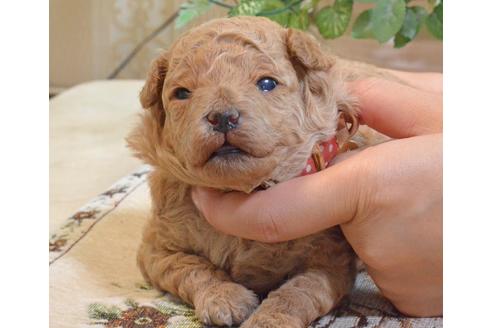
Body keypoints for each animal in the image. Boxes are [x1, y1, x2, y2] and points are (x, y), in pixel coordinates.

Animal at [129, 16, 382, 328]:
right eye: (182, 93)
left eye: (266, 83)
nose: (222, 116)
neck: (243, 189)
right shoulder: (156, 248)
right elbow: (189, 267)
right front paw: (225, 298)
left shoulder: (329, 260)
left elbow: (297, 292)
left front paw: (268, 319)